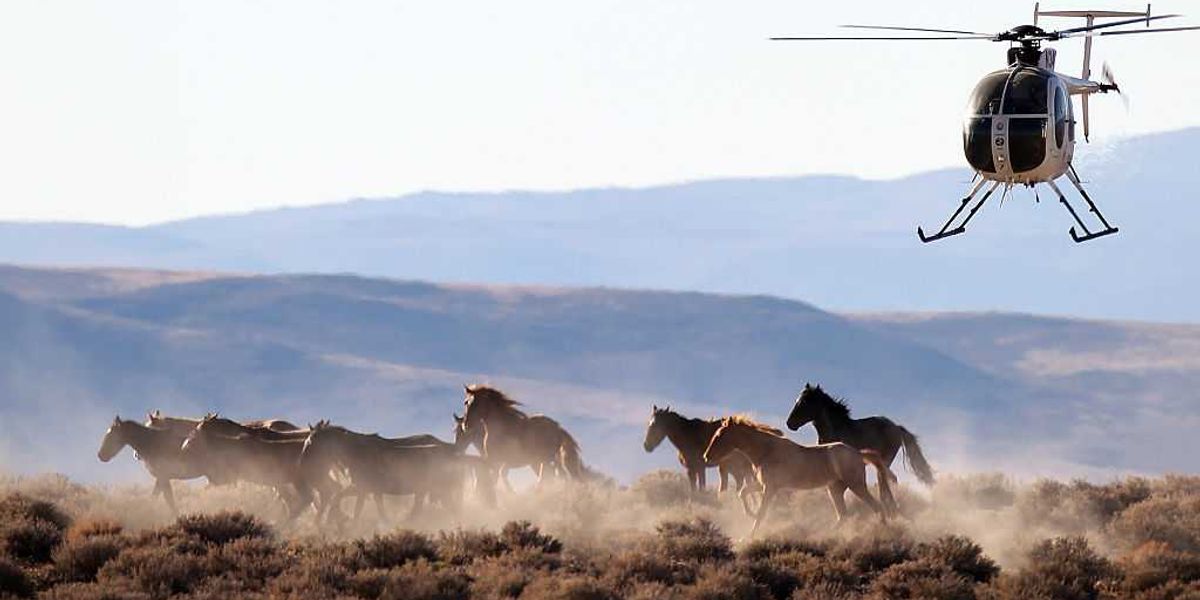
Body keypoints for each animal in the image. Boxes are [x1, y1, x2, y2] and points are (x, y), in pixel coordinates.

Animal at [299, 421, 488, 524]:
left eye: (310, 442)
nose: (301, 463)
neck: (356, 452)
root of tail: (452, 452)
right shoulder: (367, 490)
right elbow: (364, 510)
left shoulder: (361, 488)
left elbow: (339, 499)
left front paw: (333, 519)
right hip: (432, 492)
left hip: (437, 490)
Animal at [703, 416, 897, 538]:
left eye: (720, 435)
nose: (706, 457)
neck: (766, 451)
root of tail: (858, 453)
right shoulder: (764, 485)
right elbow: (743, 493)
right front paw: (750, 514)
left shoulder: (770, 488)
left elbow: (761, 514)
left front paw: (749, 535)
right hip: (834, 489)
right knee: (843, 515)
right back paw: (823, 536)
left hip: (856, 486)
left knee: (877, 507)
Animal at [786, 384, 935, 509]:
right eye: (796, 400)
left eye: (805, 402)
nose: (789, 423)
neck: (835, 430)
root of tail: (896, 427)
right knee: (889, 479)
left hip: (885, 460)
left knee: (887, 479)